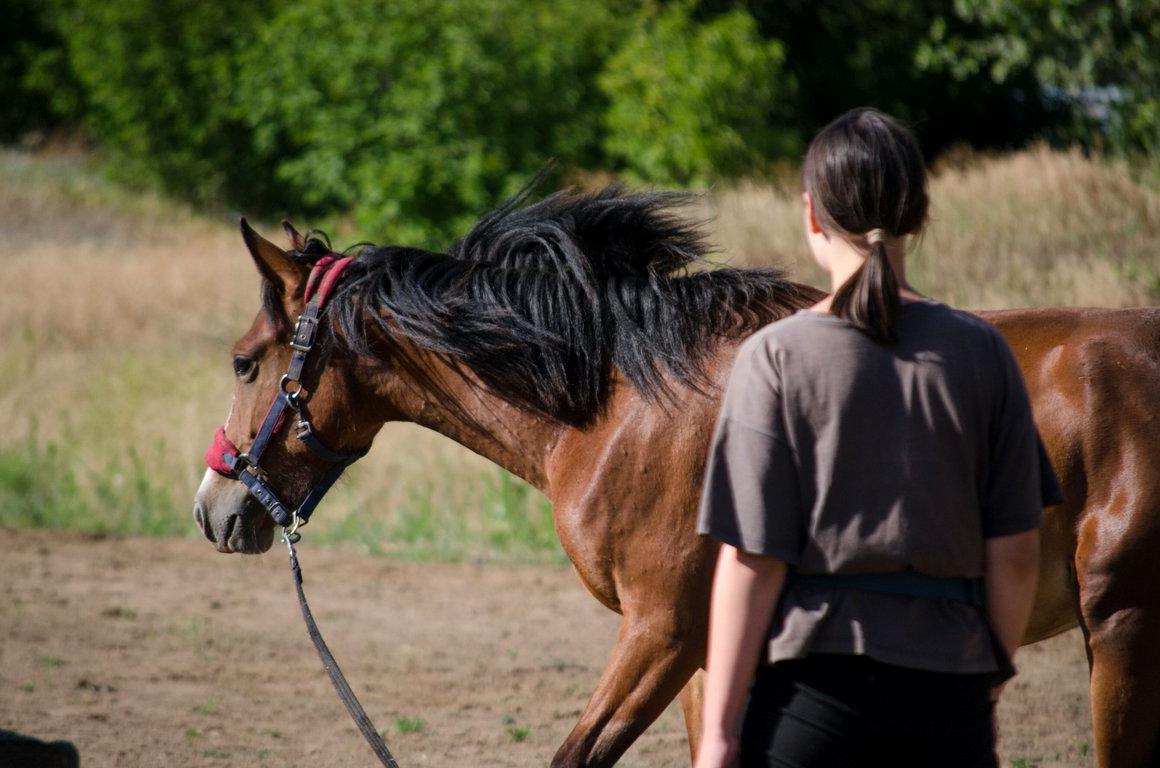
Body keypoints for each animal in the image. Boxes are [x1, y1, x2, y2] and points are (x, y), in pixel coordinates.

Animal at [192, 187, 1160, 768]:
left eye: (244, 361)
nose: (214, 508)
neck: (625, 397)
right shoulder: (709, 649)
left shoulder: (662, 630)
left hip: (1119, 627)